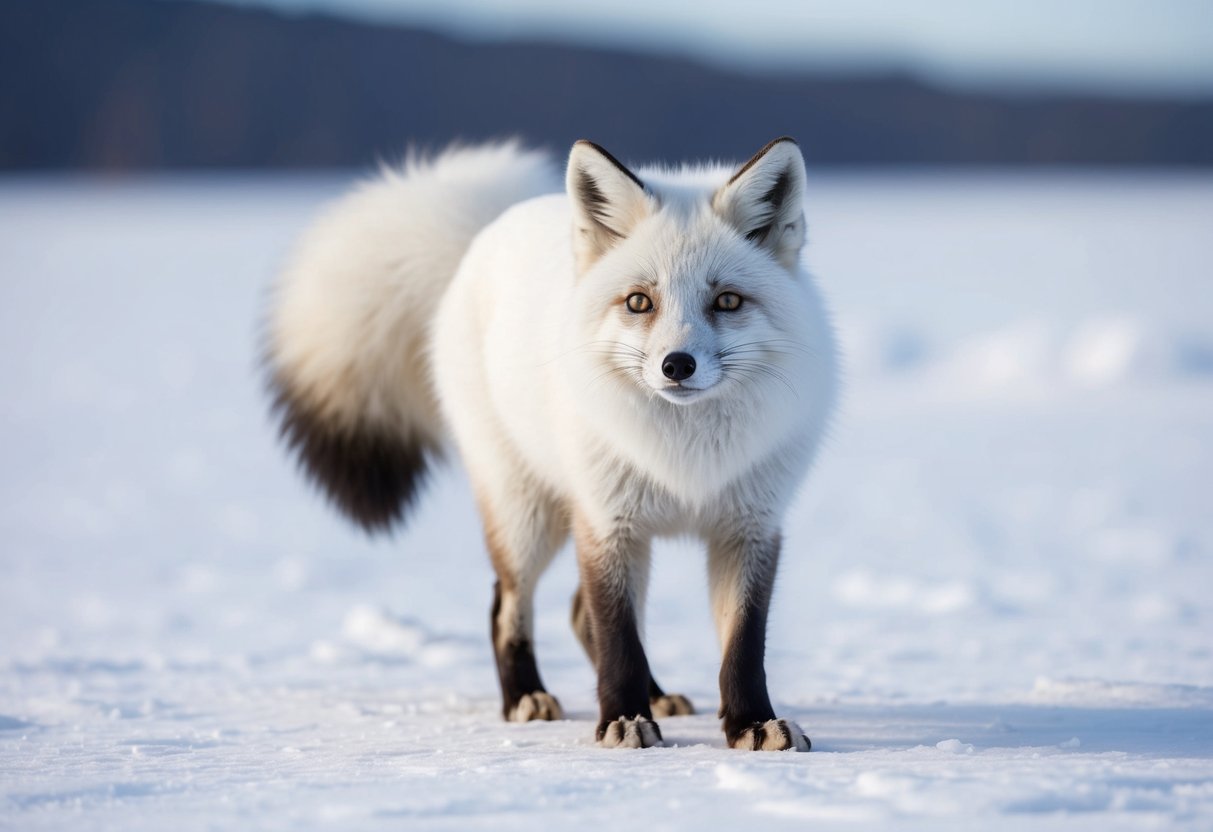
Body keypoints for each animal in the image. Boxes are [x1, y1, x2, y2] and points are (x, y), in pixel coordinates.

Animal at [265, 137, 838, 751]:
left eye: (728, 302)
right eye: (639, 302)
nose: (676, 365)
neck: (685, 457)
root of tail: (487, 230)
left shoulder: (749, 528)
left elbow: (742, 647)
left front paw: (752, 723)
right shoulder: (606, 523)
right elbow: (618, 638)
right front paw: (623, 719)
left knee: (576, 614)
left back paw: (657, 695)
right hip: (527, 515)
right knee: (508, 607)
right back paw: (526, 697)